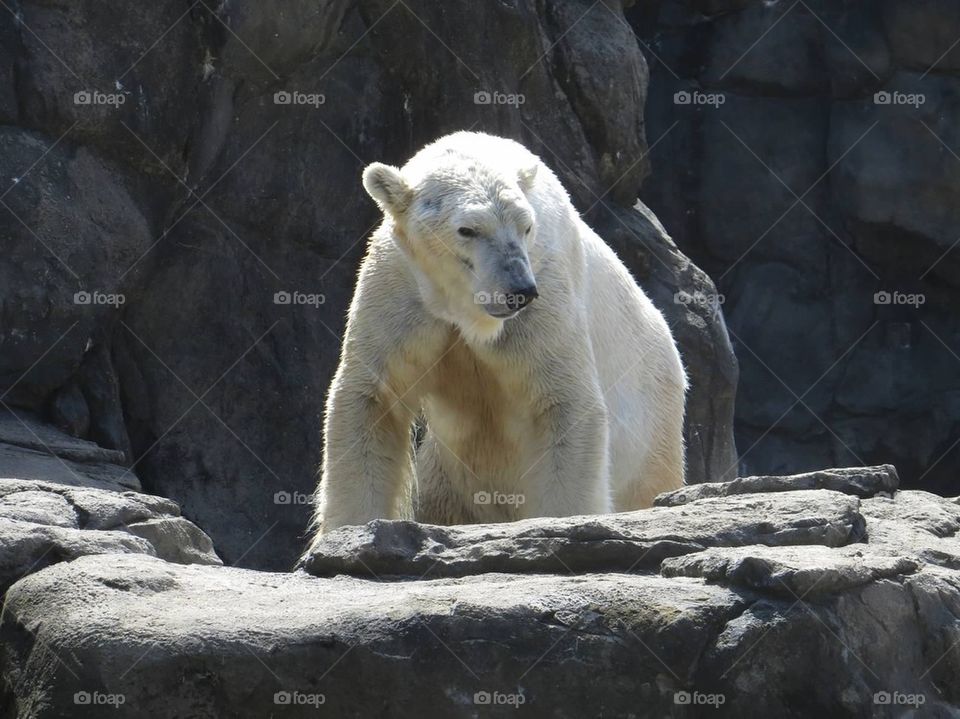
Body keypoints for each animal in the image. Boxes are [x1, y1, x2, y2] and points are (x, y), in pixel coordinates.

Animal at [304, 131, 686, 550]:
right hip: (450, 472)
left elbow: (562, 401)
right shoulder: (401, 289)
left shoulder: (545, 288)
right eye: (468, 230)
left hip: (649, 423)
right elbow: (373, 398)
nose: (519, 291)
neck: (467, 310)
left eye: (526, 226)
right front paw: (348, 535)